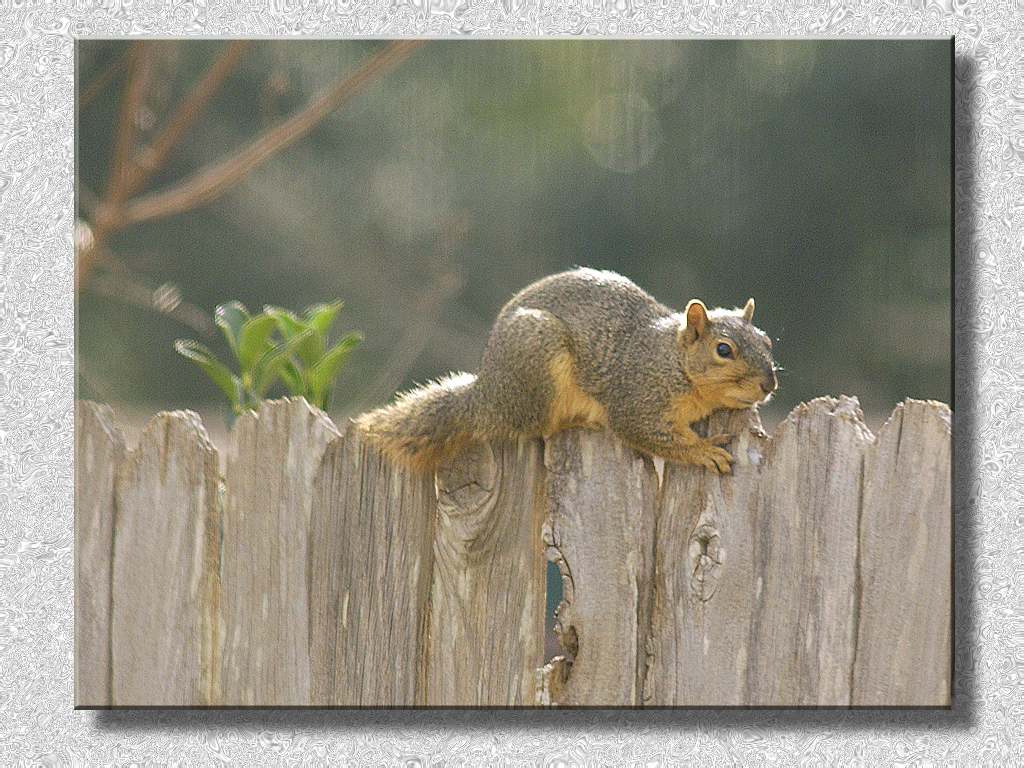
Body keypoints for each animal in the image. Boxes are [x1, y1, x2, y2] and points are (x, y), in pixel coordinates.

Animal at [354, 270, 774, 475]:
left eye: (767, 341)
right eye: (723, 350)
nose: (769, 384)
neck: (672, 361)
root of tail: (487, 396)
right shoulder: (637, 398)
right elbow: (649, 433)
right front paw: (703, 451)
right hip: (539, 361)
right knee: (538, 426)